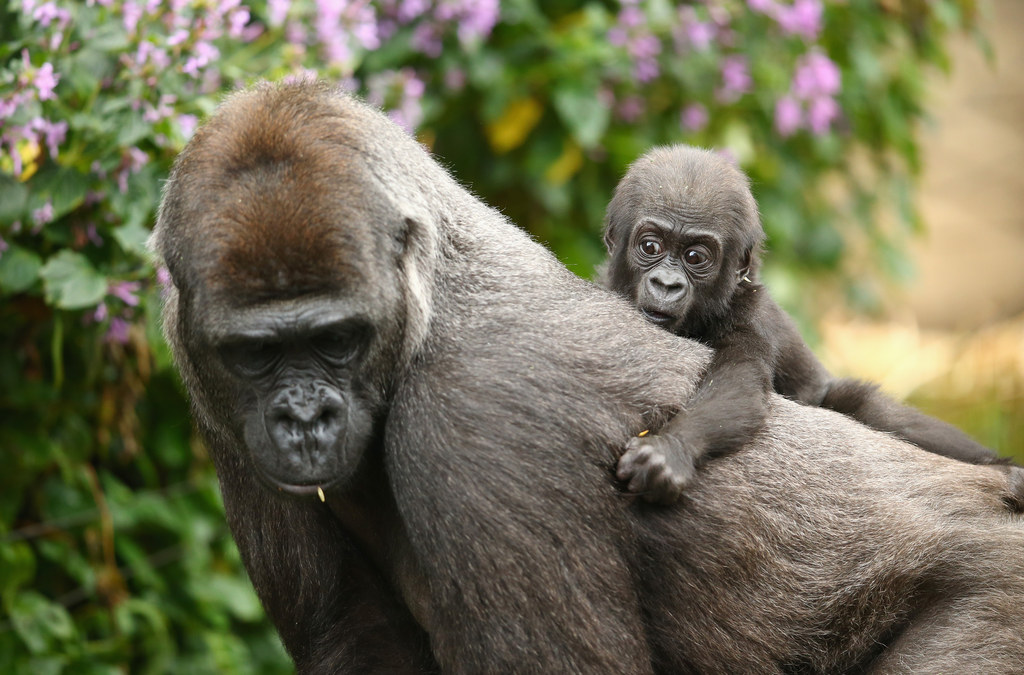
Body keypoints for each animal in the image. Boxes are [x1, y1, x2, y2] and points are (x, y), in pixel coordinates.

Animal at [602, 147, 1019, 508]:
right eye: (651, 247)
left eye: (695, 257)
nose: (667, 284)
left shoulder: (751, 318)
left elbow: (738, 385)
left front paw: (671, 449)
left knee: (866, 406)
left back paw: (1005, 472)